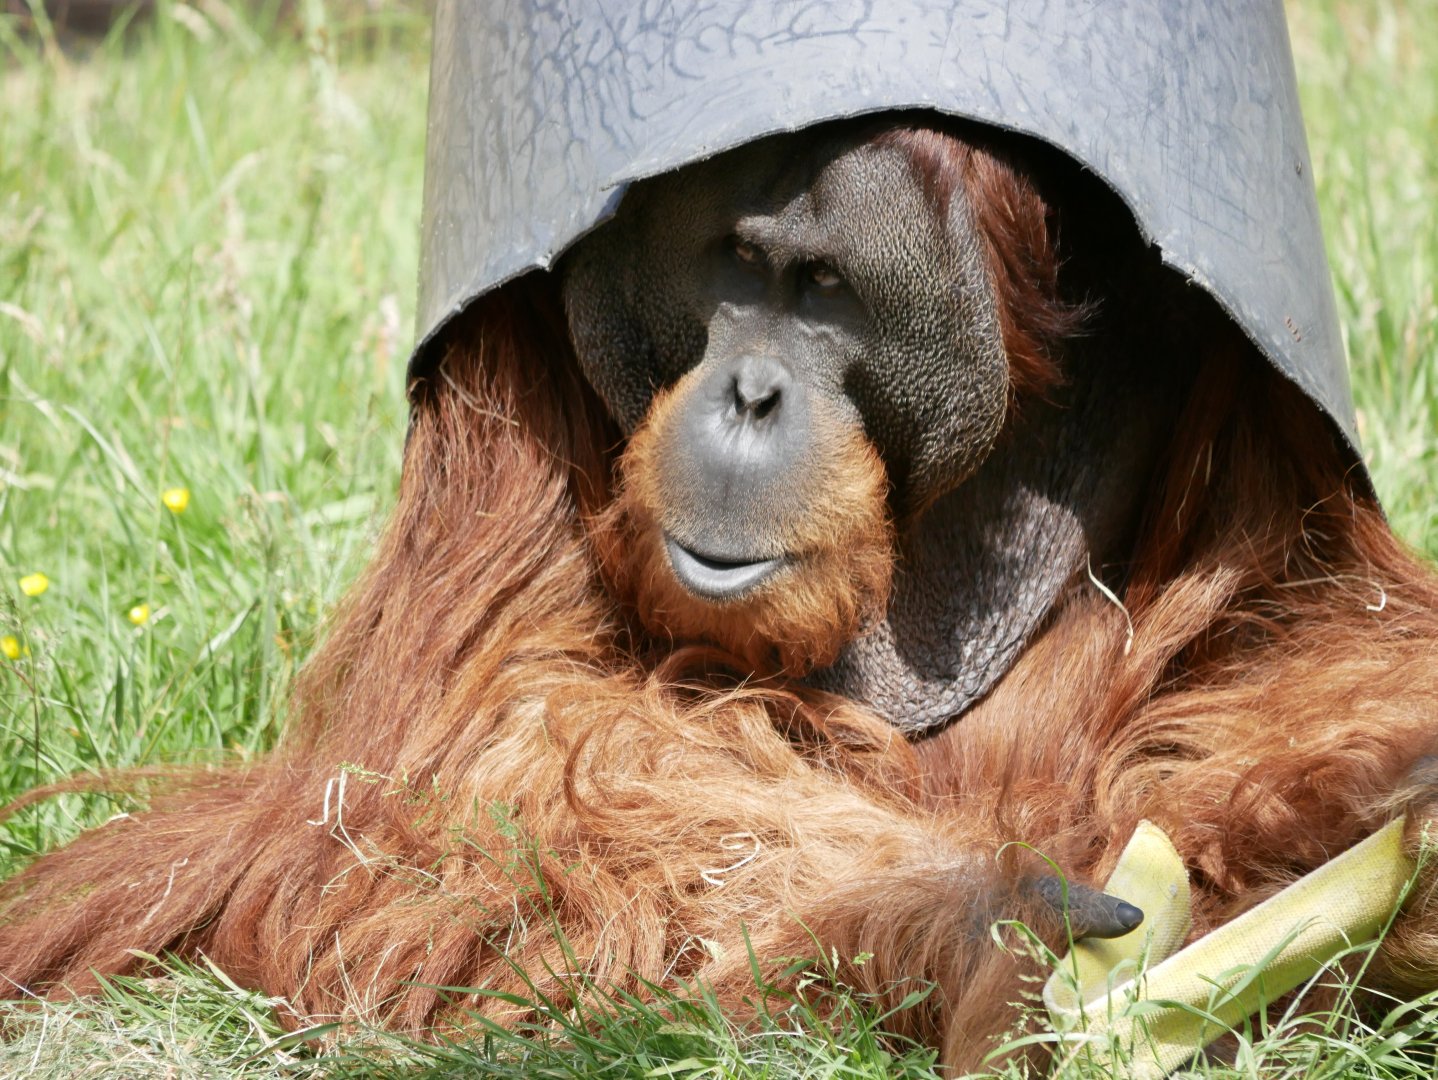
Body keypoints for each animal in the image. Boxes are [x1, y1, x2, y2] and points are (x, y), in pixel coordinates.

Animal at [3, 117, 1437, 1072]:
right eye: (739, 269)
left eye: (826, 289)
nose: (749, 391)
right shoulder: (501, 370)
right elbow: (491, 751)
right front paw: (986, 920)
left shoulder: (1240, 388)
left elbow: (1291, 625)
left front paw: (1359, 810)